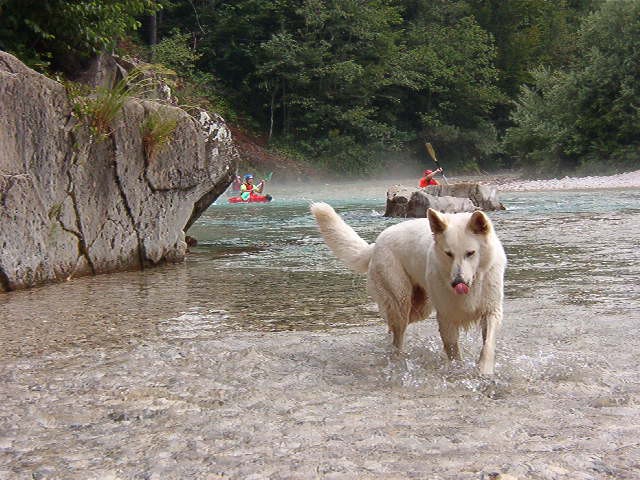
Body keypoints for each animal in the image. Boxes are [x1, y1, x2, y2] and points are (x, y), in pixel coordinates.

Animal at [308, 203, 508, 376]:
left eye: (470, 253)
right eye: (448, 254)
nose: (457, 282)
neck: (474, 282)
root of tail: (375, 245)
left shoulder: (491, 311)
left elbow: (488, 345)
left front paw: (484, 370)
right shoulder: (446, 319)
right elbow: (453, 351)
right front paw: (458, 370)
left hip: (420, 308)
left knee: (392, 328)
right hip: (402, 303)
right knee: (397, 334)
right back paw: (398, 359)